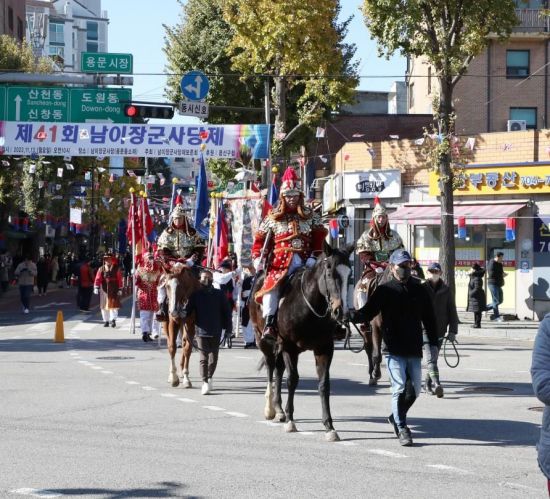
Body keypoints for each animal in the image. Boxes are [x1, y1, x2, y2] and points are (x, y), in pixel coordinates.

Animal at [250, 244, 354, 444]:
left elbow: (324, 384)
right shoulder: (289, 347)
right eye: (329, 272)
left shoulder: (324, 348)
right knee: (270, 369)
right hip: (263, 340)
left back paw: (279, 410)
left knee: (278, 370)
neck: (310, 308)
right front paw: (291, 421)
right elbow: (292, 380)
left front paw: (329, 427)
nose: (341, 312)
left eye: (350, 275)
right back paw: (270, 409)